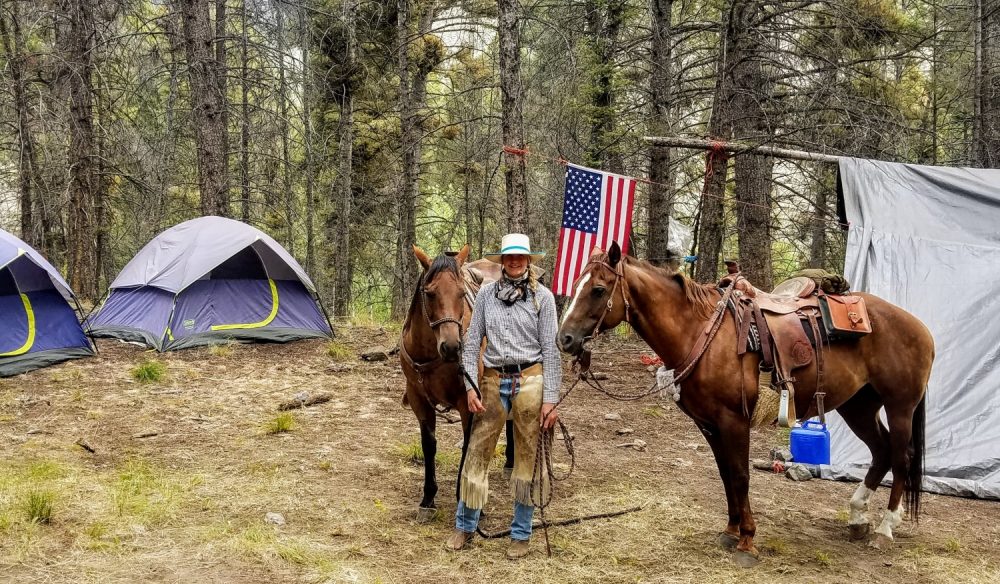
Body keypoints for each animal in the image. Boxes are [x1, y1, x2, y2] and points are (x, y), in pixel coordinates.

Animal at [560, 242, 932, 564]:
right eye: (577, 284)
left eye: (597, 289)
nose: (564, 339)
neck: (700, 331)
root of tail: (921, 327)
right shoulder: (708, 424)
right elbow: (725, 474)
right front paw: (730, 530)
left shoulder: (733, 419)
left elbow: (740, 475)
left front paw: (748, 540)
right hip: (858, 406)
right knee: (881, 451)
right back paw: (857, 518)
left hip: (900, 406)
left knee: (901, 456)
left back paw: (885, 527)